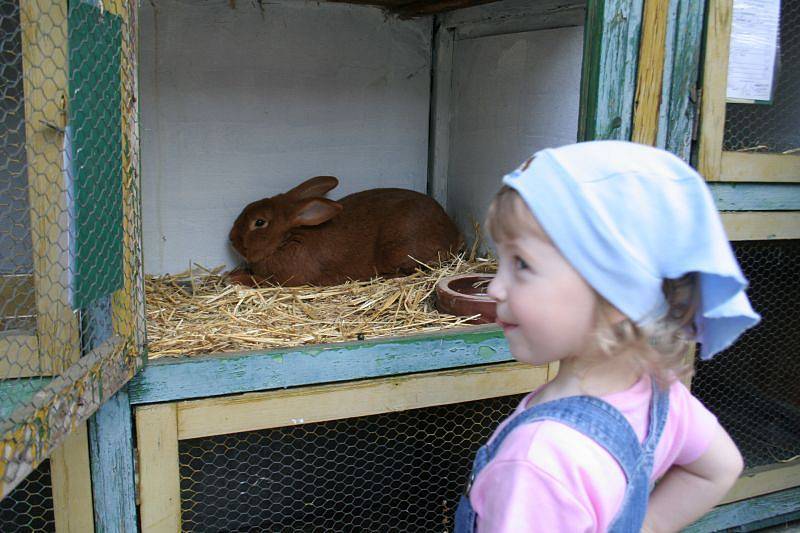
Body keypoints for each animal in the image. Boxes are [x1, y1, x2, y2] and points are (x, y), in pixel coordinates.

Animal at [225, 177, 462, 286]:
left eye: (259, 222)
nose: (232, 240)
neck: (288, 238)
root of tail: (453, 234)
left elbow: (258, 281)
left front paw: (234, 278)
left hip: (400, 251)